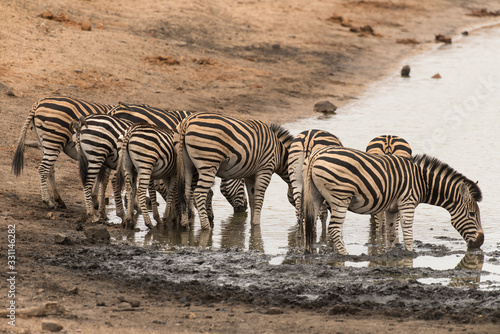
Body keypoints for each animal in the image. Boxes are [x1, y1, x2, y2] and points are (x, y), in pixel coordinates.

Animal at [300, 147, 484, 254]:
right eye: (472, 214)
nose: (480, 242)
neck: (421, 181)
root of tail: (316, 155)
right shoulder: (408, 203)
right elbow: (407, 231)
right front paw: (410, 253)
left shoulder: (391, 208)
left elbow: (390, 232)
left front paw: (389, 253)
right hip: (340, 197)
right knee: (334, 228)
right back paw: (344, 254)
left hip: (315, 196)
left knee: (309, 222)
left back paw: (308, 251)